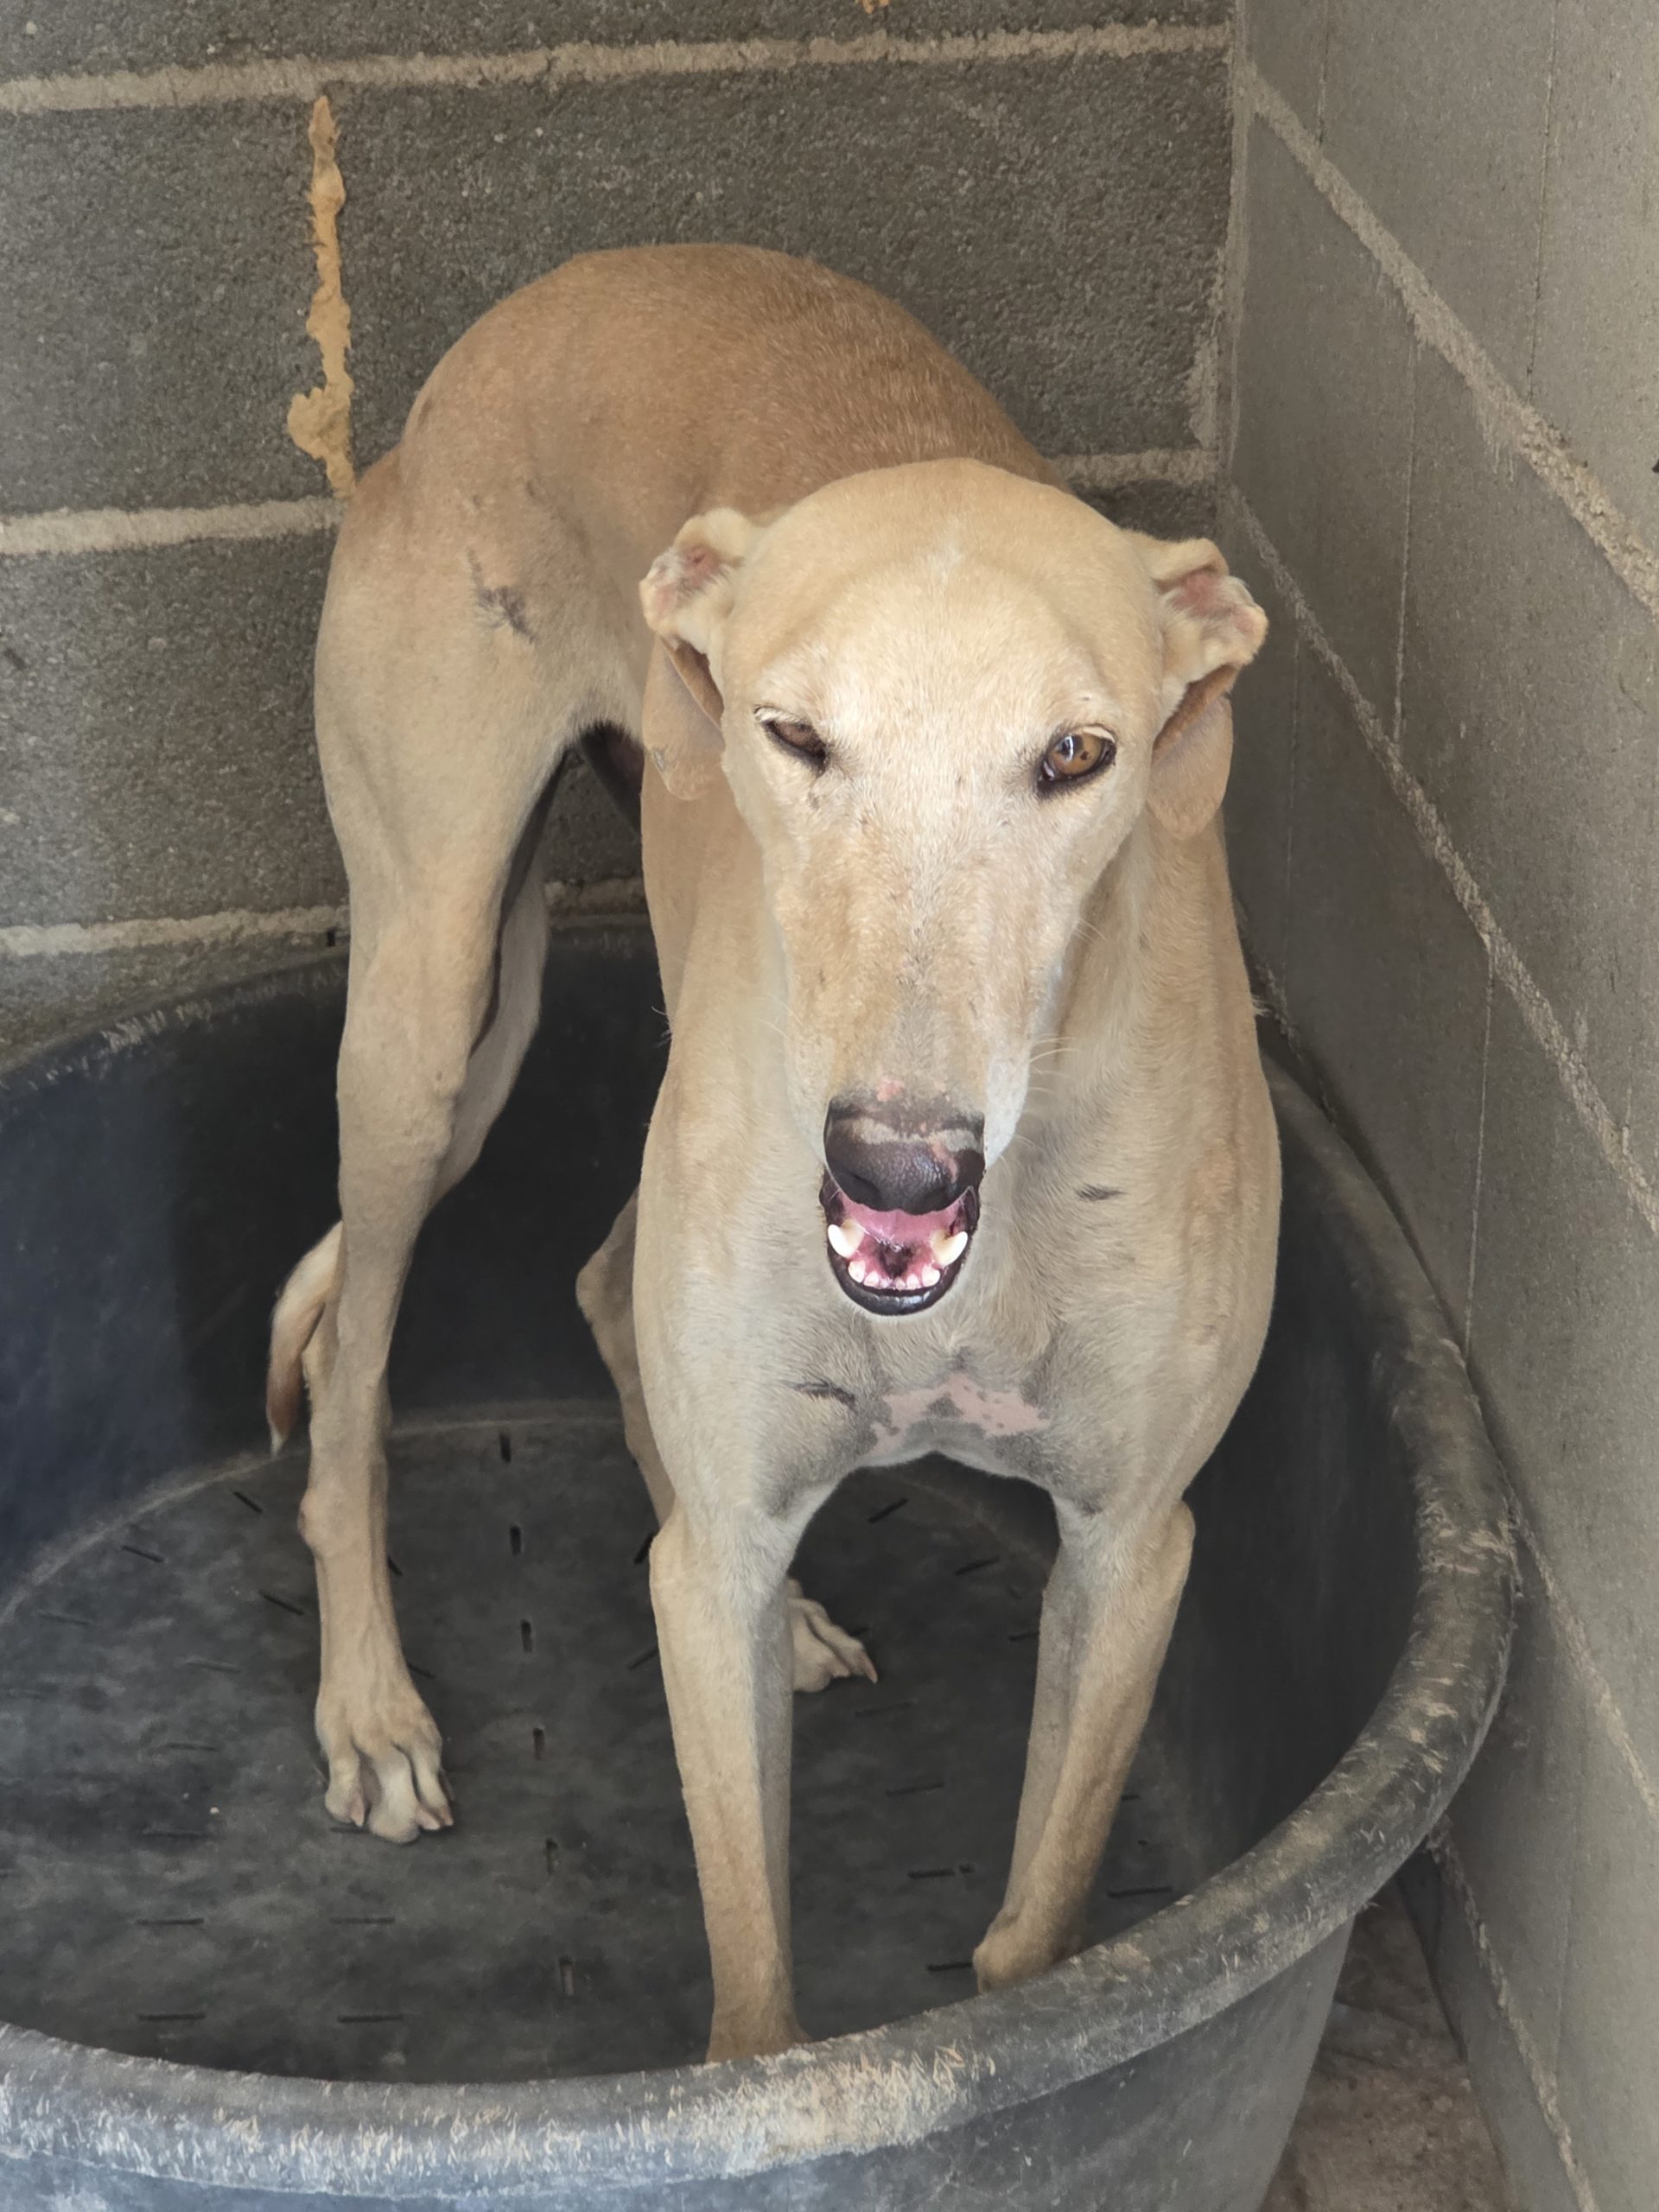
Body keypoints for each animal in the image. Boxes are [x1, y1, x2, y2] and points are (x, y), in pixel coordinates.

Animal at [266, 244, 1276, 2063]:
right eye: (795, 736)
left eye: (1078, 753)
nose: (898, 1167)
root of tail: (539, 306)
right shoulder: (720, 1573)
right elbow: (759, 2015)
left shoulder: (1129, 1548)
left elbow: (1030, 1945)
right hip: (430, 1010)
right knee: (356, 1355)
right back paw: (372, 1705)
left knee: (603, 1285)